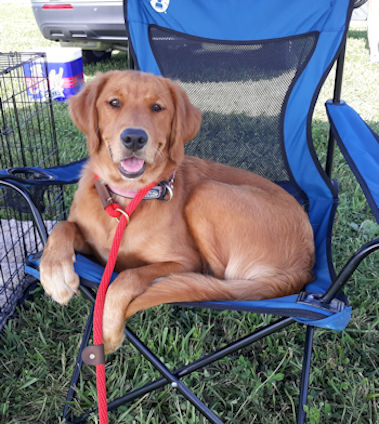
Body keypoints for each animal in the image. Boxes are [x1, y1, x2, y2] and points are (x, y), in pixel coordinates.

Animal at [40, 70, 316, 354]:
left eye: (157, 107)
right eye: (114, 103)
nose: (134, 138)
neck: (127, 199)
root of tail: (305, 265)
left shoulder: (185, 261)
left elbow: (129, 275)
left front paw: (108, 326)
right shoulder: (95, 249)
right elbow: (62, 226)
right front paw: (55, 272)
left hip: (206, 193)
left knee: (217, 279)